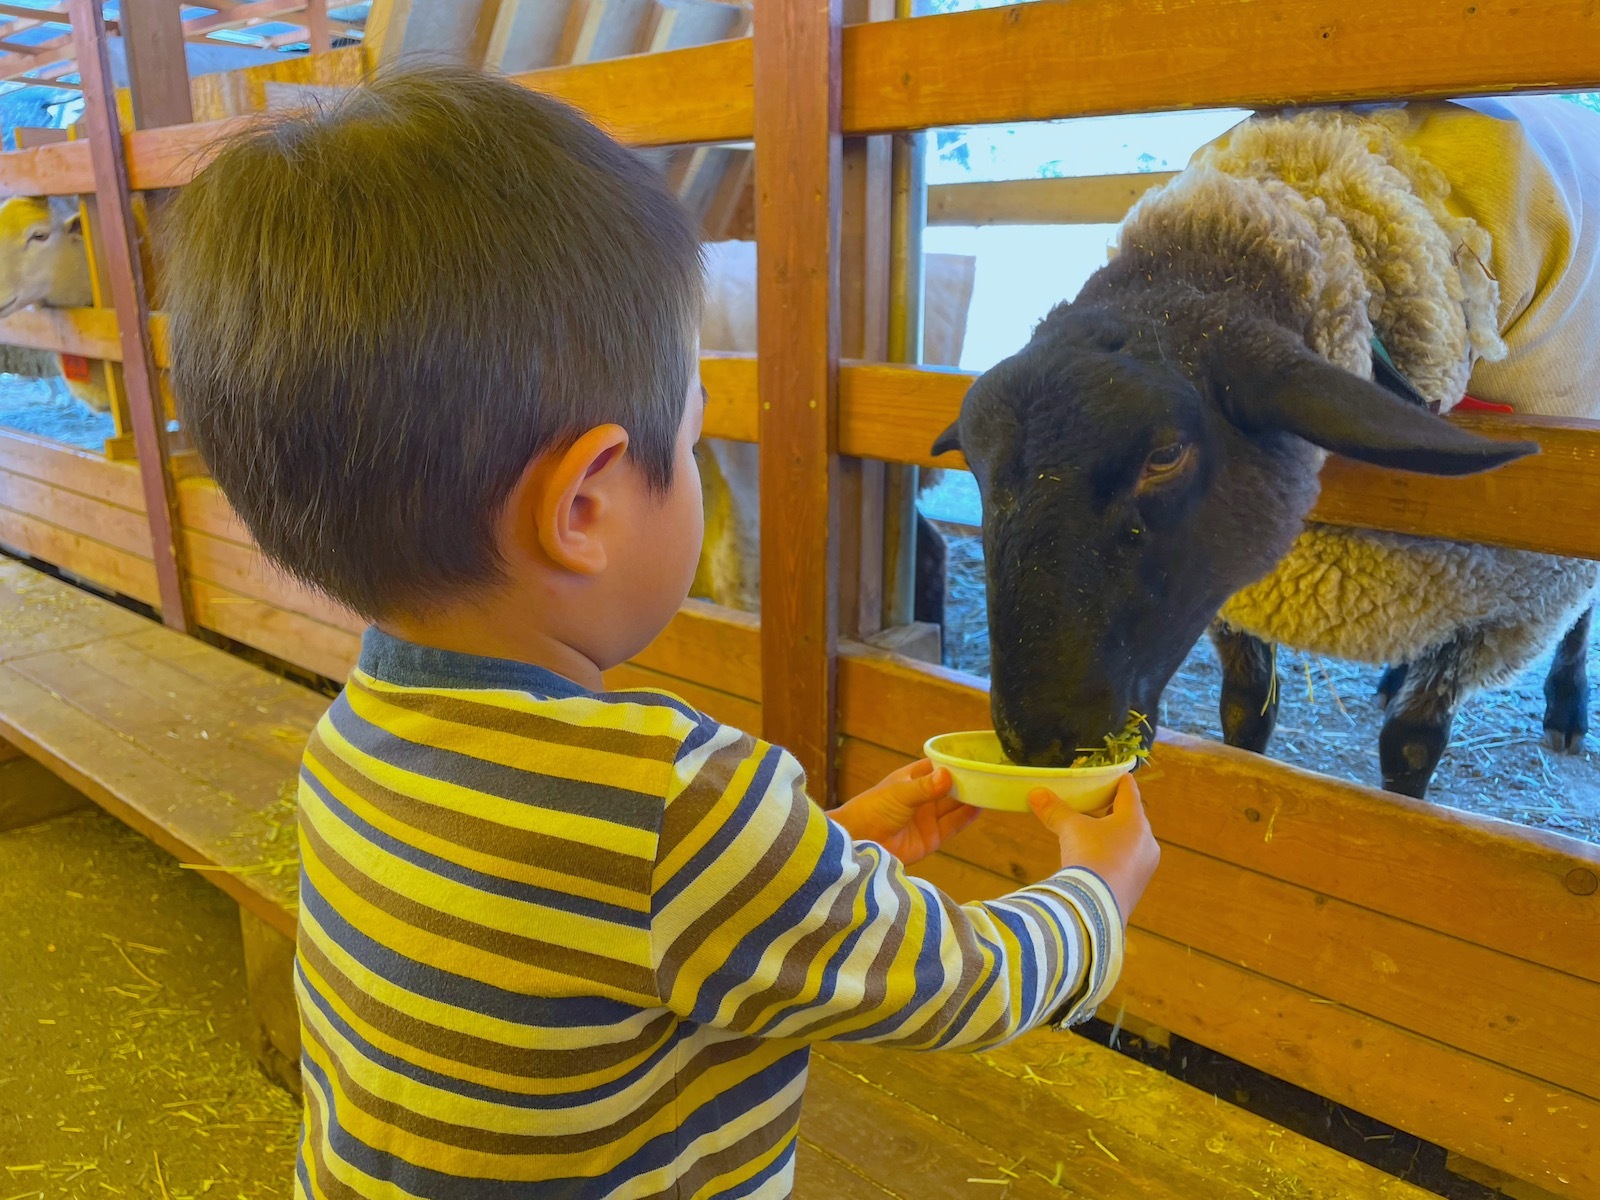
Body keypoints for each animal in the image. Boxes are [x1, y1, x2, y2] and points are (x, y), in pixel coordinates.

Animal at [934, 98, 1600, 803]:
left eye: (1165, 455)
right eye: (973, 467)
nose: (1039, 745)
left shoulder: (1516, 585)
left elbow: (1412, 743)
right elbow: (1245, 707)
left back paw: (1565, 707)